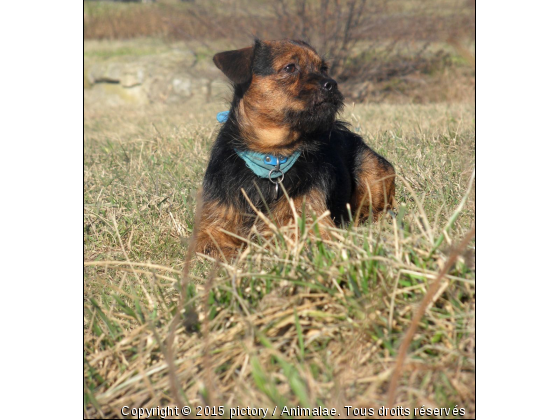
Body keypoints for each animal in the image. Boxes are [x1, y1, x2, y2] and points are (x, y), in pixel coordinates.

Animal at [195, 39, 396, 258]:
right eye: (290, 67)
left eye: (323, 68)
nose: (331, 84)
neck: (273, 156)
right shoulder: (211, 229)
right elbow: (213, 248)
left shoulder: (310, 224)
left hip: (373, 174)